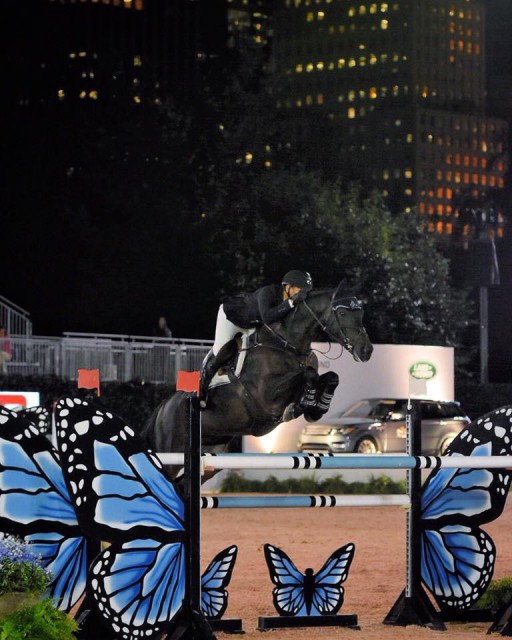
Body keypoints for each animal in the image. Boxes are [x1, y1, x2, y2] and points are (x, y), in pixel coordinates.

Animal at [142, 282, 374, 476]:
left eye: (361, 312)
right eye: (342, 312)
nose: (366, 350)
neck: (288, 344)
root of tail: (163, 406)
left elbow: (329, 376)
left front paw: (316, 408)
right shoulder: (266, 398)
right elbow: (308, 375)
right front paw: (303, 405)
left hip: (212, 455)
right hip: (171, 454)